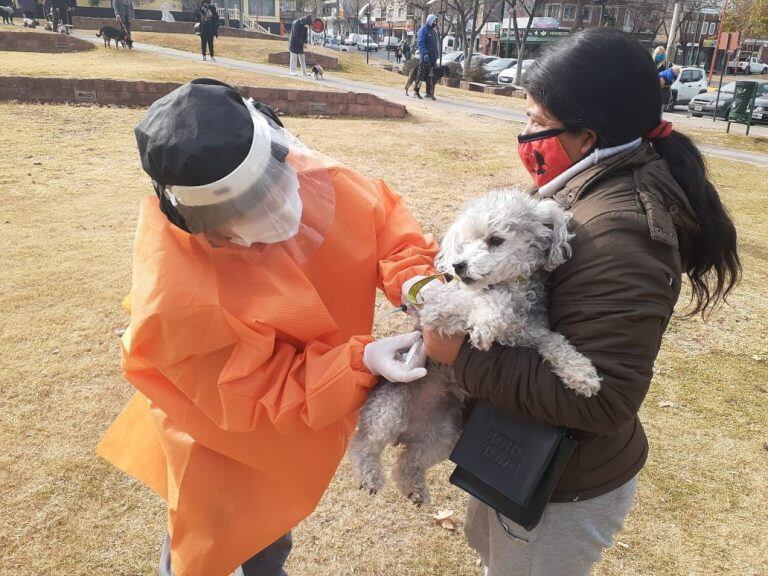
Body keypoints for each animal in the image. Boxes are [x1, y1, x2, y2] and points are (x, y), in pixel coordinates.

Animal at [352, 188, 604, 504]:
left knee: (408, 461)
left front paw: (582, 374)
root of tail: (407, 431)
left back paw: (414, 488)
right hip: (388, 411)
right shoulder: (440, 308)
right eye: (465, 242)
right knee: (362, 442)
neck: (508, 287)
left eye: (495, 240)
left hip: (441, 437)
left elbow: (556, 343)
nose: (458, 265)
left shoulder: (532, 332)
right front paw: (485, 323)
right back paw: (369, 475)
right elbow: (476, 302)